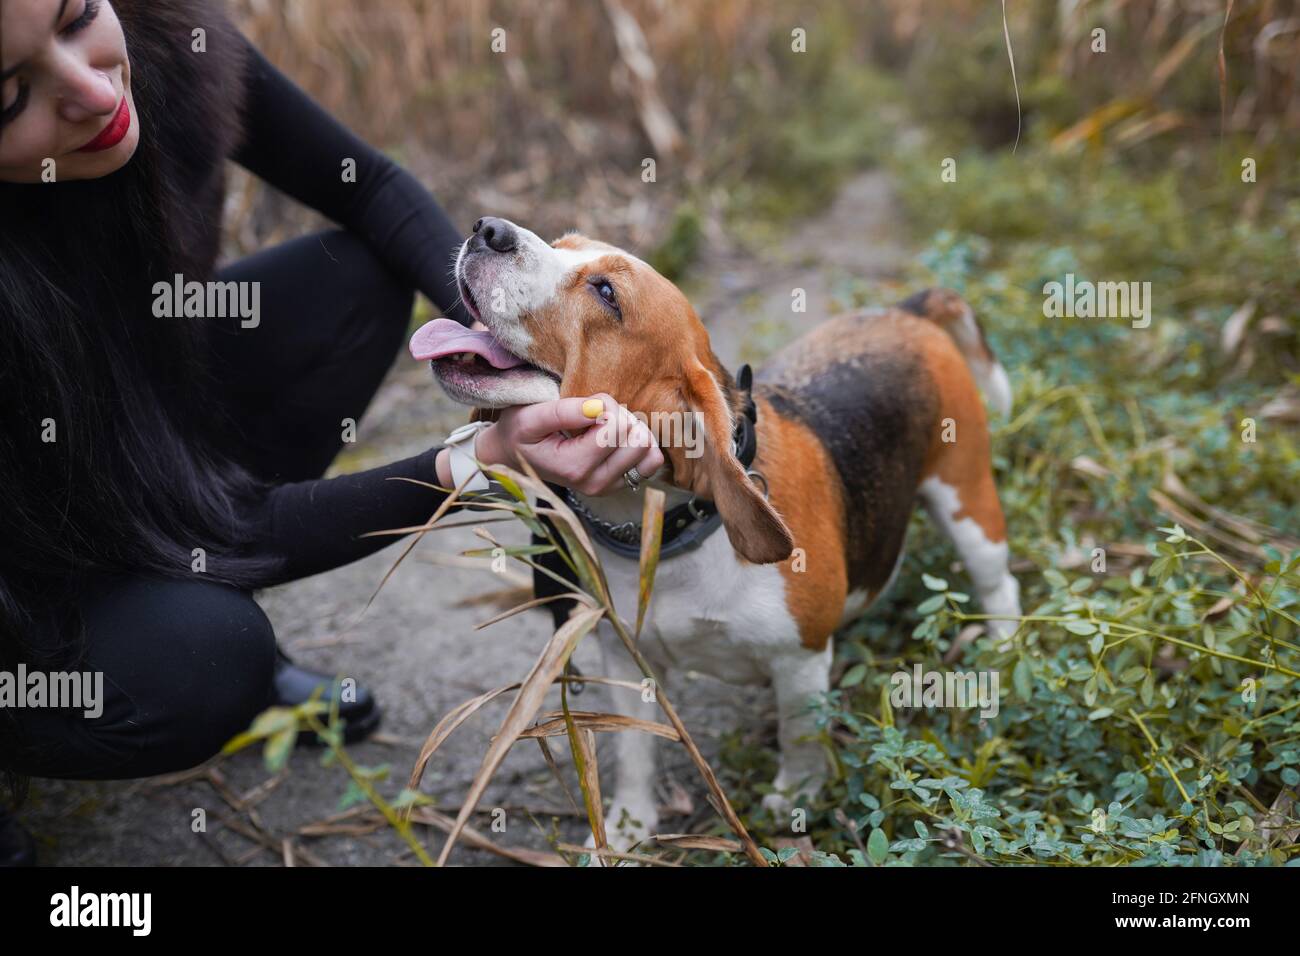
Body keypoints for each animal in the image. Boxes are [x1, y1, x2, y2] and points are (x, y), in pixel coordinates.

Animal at [410, 218, 1019, 853]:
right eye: (561, 244)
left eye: (606, 294)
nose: (488, 229)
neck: (671, 530)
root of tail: (905, 311)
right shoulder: (626, 658)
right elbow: (634, 750)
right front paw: (627, 828)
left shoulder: (799, 659)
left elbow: (800, 739)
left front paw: (795, 799)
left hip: (968, 502)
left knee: (998, 583)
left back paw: (1000, 646)